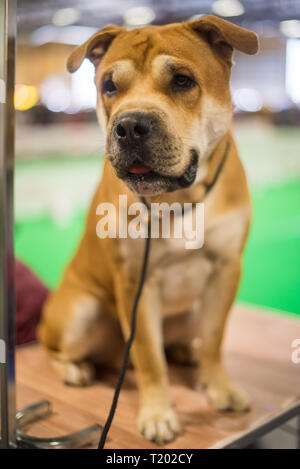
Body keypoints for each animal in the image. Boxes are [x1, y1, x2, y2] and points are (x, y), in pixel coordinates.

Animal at [38, 15, 258, 442]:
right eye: (109, 86)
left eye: (182, 81)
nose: (130, 125)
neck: (179, 197)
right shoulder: (135, 284)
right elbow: (148, 355)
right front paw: (158, 414)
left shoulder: (226, 269)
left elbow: (215, 337)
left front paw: (220, 387)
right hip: (79, 312)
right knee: (52, 346)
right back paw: (74, 368)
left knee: (189, 338)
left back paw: (187, 352)